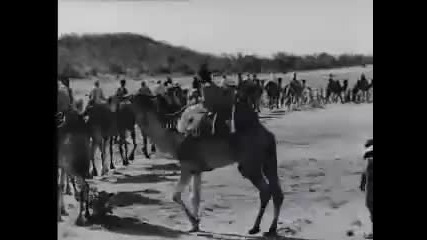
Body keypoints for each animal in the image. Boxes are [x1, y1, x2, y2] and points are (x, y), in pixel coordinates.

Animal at [129, 93, 286, 236]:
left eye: (136, 100)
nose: (128, 101)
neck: (175, 141)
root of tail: (267, 135)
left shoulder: (187, 165)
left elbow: (175, 195)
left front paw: (194, 222)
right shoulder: (197, 169)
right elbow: (195, 197)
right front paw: (195, 226)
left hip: (250, 163)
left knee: (265, 190)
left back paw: (255, 228)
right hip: (268, 160)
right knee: (277, 191)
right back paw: (271, 229)